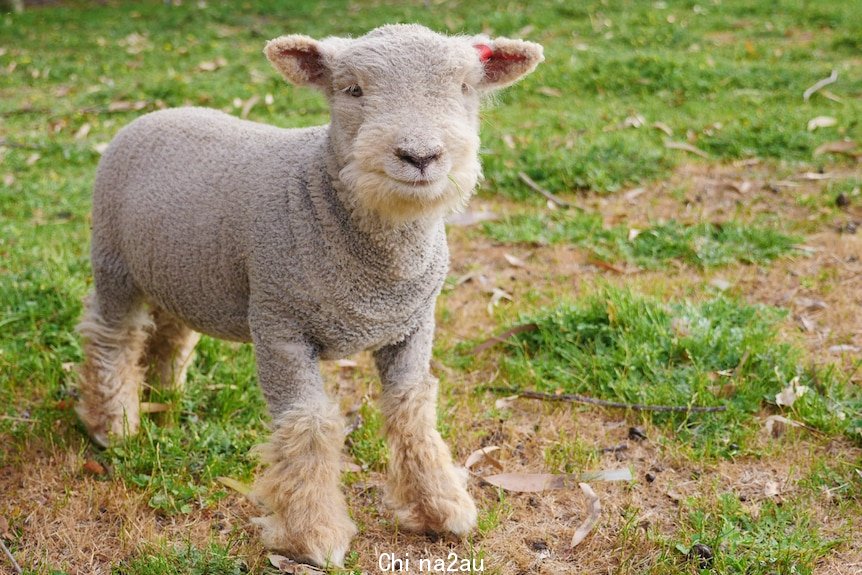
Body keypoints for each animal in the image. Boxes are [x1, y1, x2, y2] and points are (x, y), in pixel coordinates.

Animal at [77, 23, 544, 568]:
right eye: (352, 89)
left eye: (465, 88)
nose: (420, 156)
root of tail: (155, 113)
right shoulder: (280, 325)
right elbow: (309, 426)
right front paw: (313, 533)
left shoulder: (412, 325)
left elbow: (411, 408)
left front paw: (440, 506)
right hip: (115, 263)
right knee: (112, 338)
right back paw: (114, 424)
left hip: (181, 271)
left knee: (170, 330)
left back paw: (166, 392)